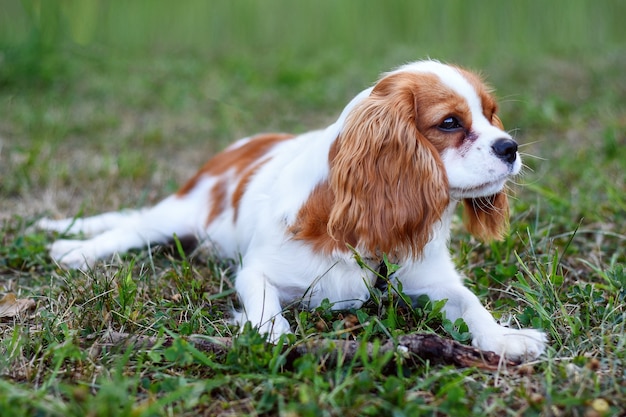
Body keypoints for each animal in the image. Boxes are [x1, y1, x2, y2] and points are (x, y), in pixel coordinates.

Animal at [37, 59, 544, 360]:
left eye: (491, 114)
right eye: (451, 123)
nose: (510, 146)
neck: (358, 236)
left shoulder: (434, 282)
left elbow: (471, 302)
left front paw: (503, 337)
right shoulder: (255, 271)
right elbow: (264, 305)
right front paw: (272, 338)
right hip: (181, 214)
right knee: (132, 227)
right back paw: (75, 250)